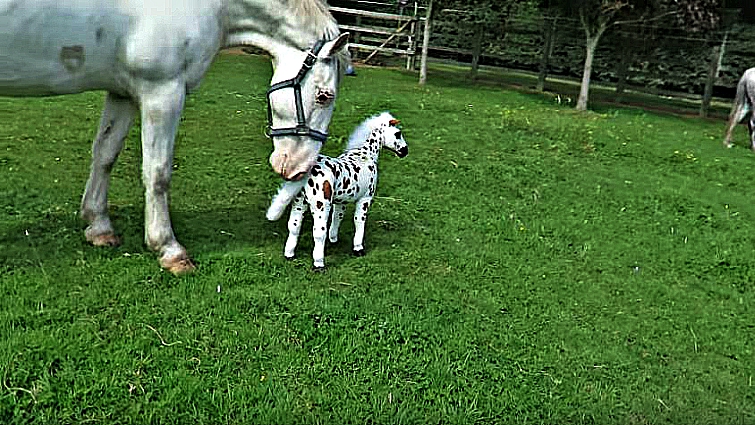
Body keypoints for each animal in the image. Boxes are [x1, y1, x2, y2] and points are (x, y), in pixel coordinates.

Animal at [0, 0, 350, 273]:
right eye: (324, 96)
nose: (299, 168)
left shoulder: (123, 93)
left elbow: (105, 155)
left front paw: (98, 226)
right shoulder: (162, 92)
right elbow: (158, 174)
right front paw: (168, 249)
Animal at [266, 112, 408, 270]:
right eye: (398, 134)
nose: (405, 151)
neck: (364, 155)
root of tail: (308, 172)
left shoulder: (341, 201)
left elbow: (337, 218)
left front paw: (333, 239)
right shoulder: (365, 198)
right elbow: (359, 221)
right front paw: (358, 248)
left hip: (299, 202)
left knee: (294, 226)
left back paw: (289, 255)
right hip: (320, 206)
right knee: (318, 233)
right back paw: (319, 264)